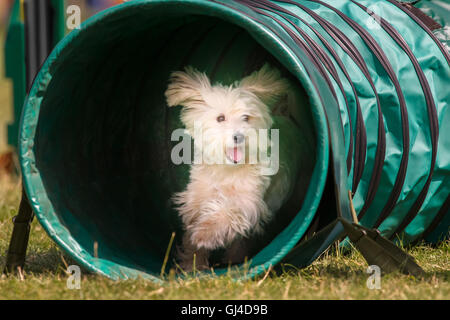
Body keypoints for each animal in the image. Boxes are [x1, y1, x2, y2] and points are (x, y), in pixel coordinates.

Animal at [165, 63, 298, 272]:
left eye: (246, 118)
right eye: (220, 118)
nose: (239, 136)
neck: (226, 171)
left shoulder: (248, 202)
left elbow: (225, 213)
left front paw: (205, 234)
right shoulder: (197, 197)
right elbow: (193, 230)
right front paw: (192, 264)